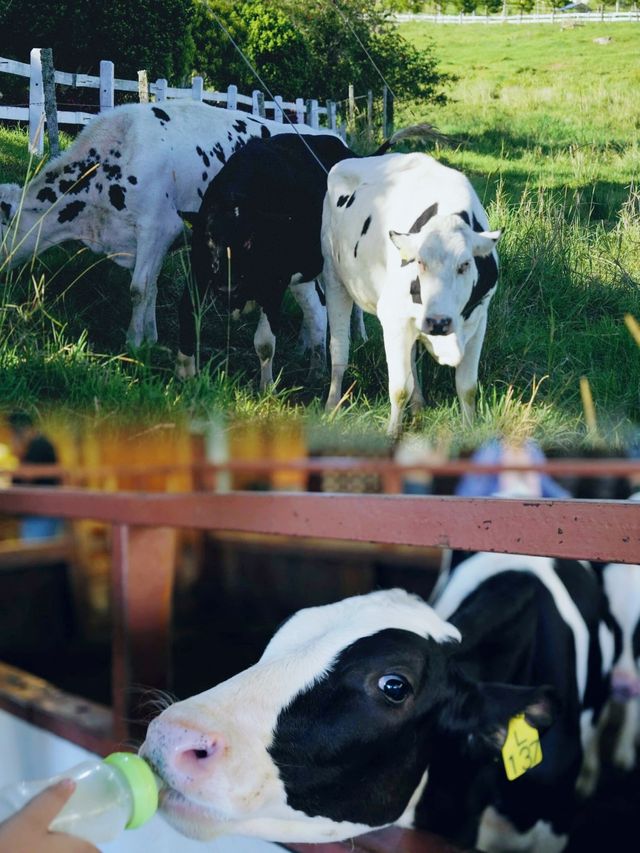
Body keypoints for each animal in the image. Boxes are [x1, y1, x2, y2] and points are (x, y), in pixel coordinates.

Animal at [320, 151, 500, 436]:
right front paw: (393, 433)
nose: (438, 321)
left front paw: (469, 429)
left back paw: (418, 405)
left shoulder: (479, 319)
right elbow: (399, 388)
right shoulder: (393, 318)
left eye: (464, 265)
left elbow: (467, 387)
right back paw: (332, 404)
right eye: (420, 263)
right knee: (339, 349)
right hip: (334, 277)